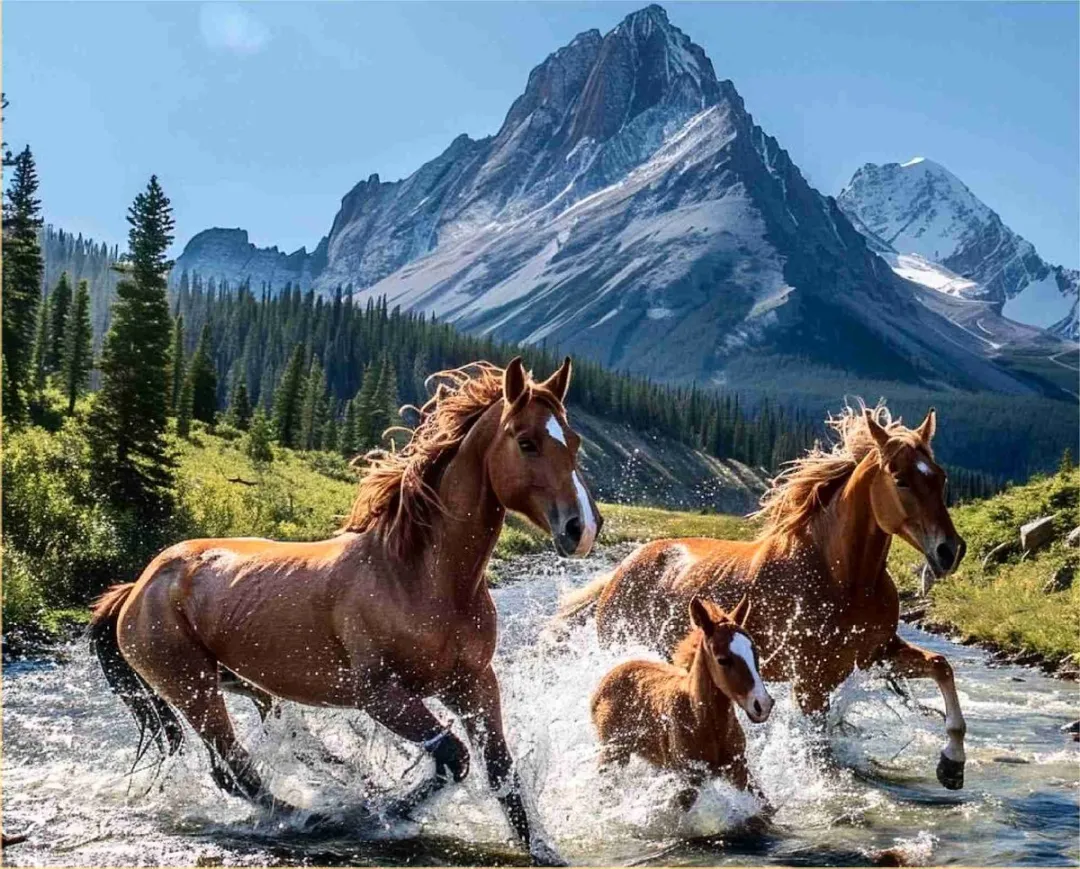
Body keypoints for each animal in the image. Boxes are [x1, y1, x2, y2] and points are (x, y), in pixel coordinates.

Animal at [89, 356, 601, 865]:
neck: (419, 578)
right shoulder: (380, 694)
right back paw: (311, 816)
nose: (582, 529)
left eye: (573, 441)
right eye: (526, 441)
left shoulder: (473, 684)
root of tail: (138, 586)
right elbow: (452, 758)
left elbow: (500, 771)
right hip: (192, 689)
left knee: (285, 744)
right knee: (234, 768)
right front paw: (388, 813)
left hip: (246, 683)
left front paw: (544, 850)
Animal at [591, 595, 773, 810]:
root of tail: (609, 677)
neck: (701, 720)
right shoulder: (689, 776)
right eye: (723, 660)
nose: (762, 704)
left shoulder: (737, 767)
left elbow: (766, 806)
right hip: (612, 753)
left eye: (755, 653)